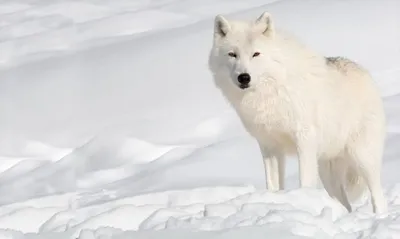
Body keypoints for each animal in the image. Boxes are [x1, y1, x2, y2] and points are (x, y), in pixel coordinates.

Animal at [209, 11, 388, 214]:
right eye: (232, 54)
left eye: (256, 54)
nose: (244, 77)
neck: (269, 93)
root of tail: (366, 74)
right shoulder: (269, 146)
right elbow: (273, 184)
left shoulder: (304, 139)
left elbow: (305, 181)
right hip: (328, 171)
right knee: (346, 204)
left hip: (362, 159)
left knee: (378, 196)